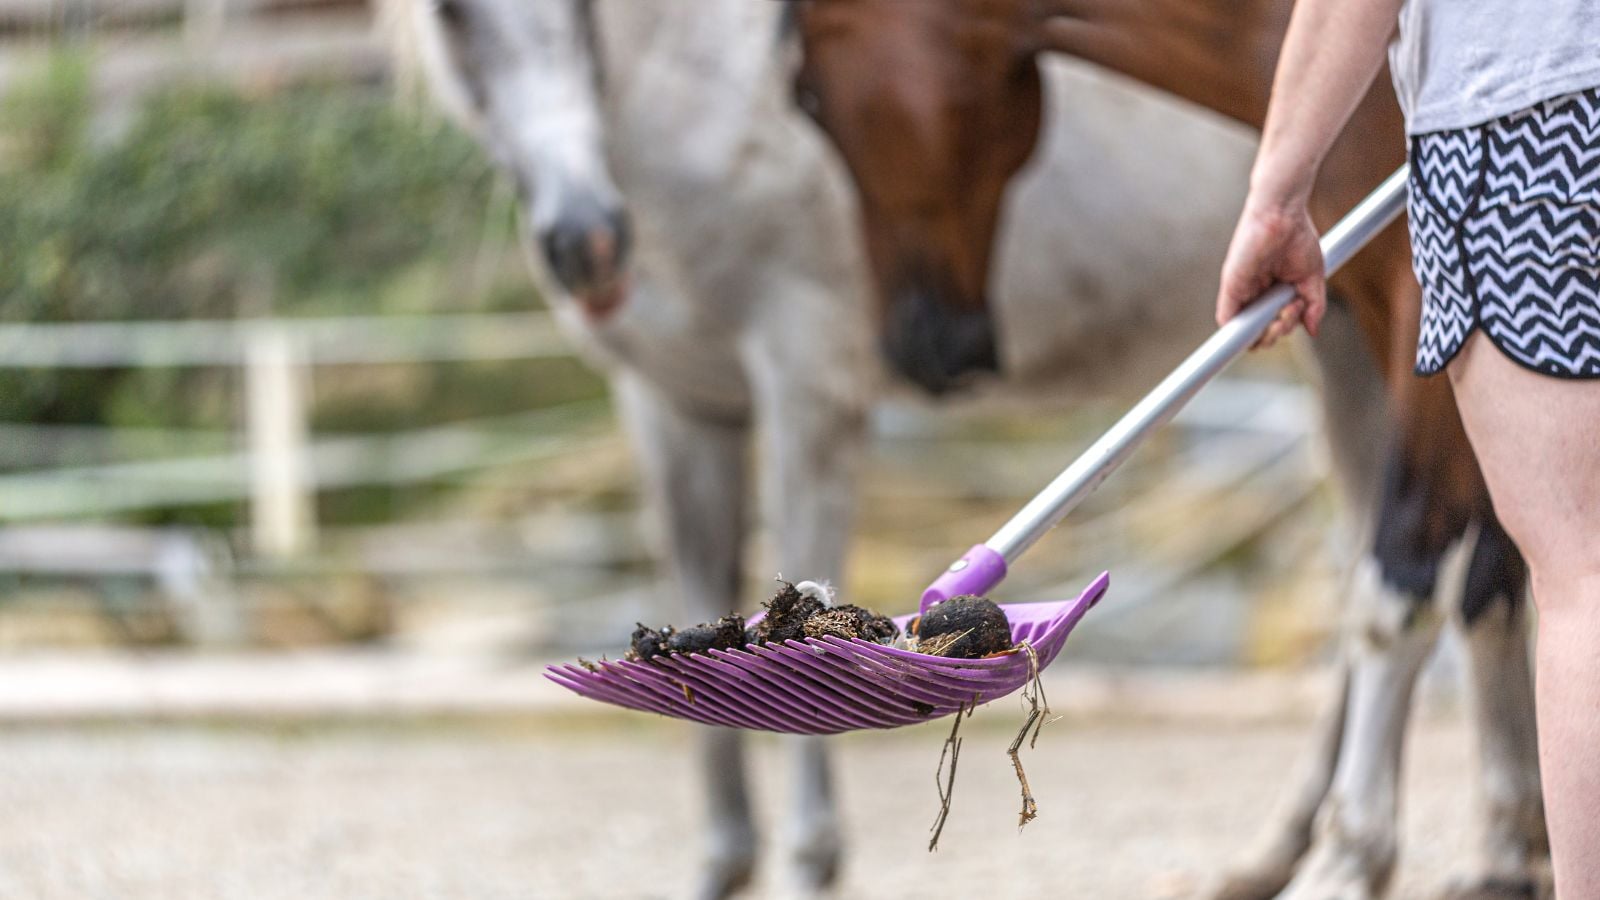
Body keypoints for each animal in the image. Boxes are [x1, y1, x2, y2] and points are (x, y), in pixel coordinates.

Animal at [387, 0, 1392, 895]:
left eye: (807, 93)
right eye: (449, 15)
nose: (586, 245)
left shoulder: (807, 362)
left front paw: (809, 862)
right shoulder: (669, 395)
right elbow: (698, 577)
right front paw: (723, 860)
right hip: (1343, 339)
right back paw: (1290, 850)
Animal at [789, 1, 1547, 898]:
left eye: (804, 96)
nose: (923, 350)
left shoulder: (1429, 296)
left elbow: (1400, 593)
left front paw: (1351, 858)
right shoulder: (1378, 295)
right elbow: (1491, 589)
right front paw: (1506, 847)